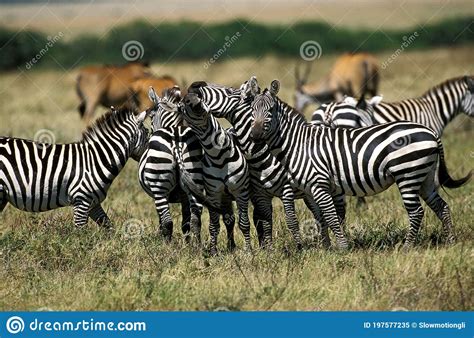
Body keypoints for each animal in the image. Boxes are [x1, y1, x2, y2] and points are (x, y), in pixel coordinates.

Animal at [0, 109, 148, 227]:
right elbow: (80, 233)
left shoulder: (93, 202)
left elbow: (108, 226)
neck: (96, 159)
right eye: (148, 133)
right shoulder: (81, 200)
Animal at [138, 86, 203, 242]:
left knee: (168, 222)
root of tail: (177, 140)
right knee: (196, 220)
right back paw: (197, 246)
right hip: (194, 178)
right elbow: (186, 223)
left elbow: (162, 221)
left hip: (159, 187)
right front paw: (187, 243)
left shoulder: (158, 195)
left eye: (151, 117)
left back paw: (166, 246)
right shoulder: (184, 196)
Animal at [178, 92, 252, 254]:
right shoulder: (214, 194)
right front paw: (213, 251)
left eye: (201, 98)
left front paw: (248, 251)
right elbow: (214, 226)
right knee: (227, 219)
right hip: (221, 196)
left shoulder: (241, 192)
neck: (220, 156)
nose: (195, 103)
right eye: (183, 105)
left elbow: (244, 223)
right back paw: (230, 246)